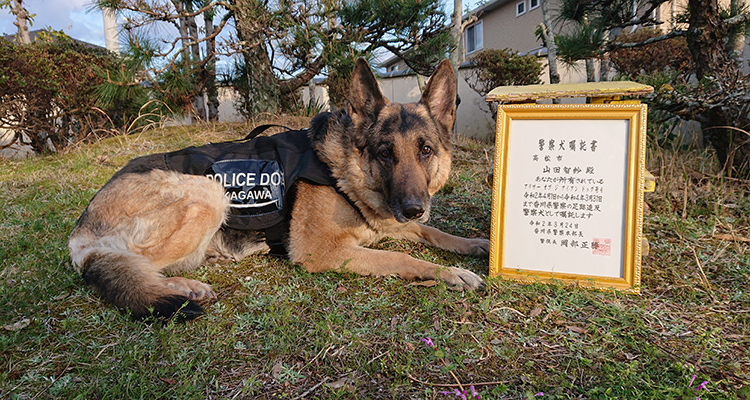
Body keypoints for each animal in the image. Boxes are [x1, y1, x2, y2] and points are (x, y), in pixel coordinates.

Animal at [69, 57, 494, 318]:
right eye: (385, 153)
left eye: (426, 150)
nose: (412, 206)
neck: (344, 171)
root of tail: (81, 230)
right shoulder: (323, 251)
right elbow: (399, 258)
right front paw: (449, 274)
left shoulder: (389, 220)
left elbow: (431, 232)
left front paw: (474, 244)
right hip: (210, 193)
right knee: (124, 264)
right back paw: (185, 286)